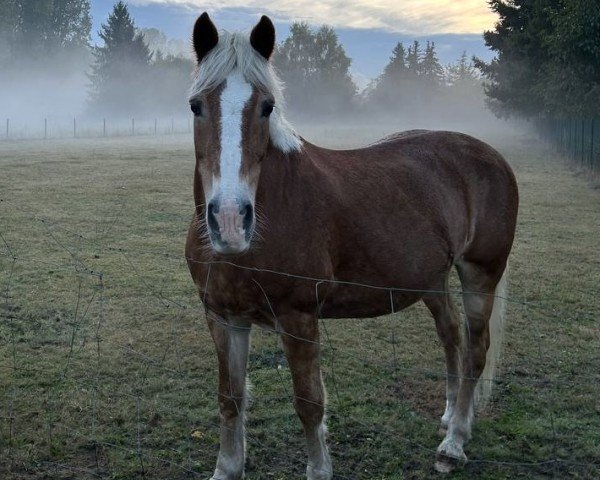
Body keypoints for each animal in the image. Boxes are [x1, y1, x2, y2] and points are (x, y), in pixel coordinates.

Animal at [185, 13, 516, 478]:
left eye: (267, 107)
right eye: (196, 105)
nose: (230, 220)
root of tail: (491, 155)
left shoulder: (298, 317)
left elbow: (309, 404)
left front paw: (319, 469)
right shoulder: (223, 317)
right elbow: (230, 398)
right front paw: (228, 467)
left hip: (480, 273)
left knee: (475, 351)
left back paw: (454, 442)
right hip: (431, 278)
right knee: (451, 336)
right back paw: (452, 415)